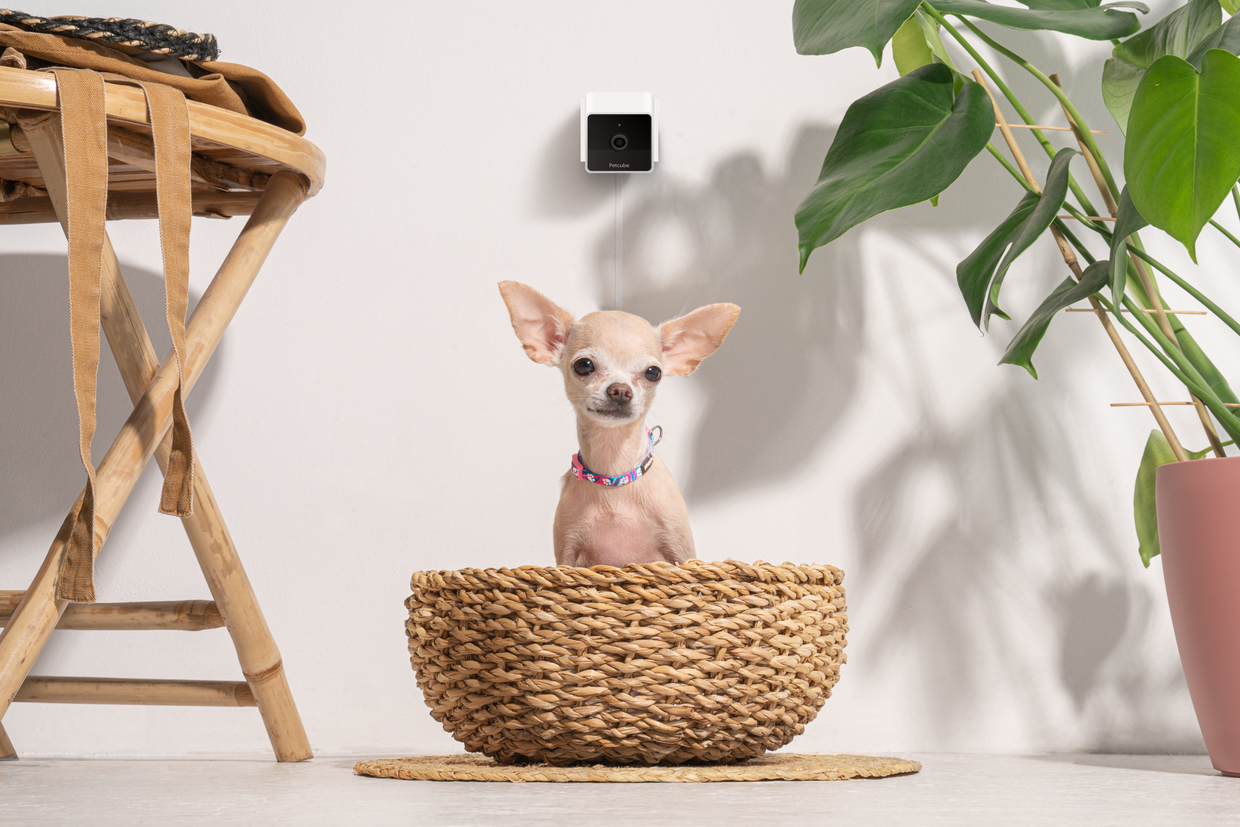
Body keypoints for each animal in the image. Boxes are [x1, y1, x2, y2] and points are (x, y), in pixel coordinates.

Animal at [498, 282, 739, 570]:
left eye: (653, 373)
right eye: (584, 365)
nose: (621, 390)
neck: (614, 475)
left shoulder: (681, 553)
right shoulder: (567, 556)